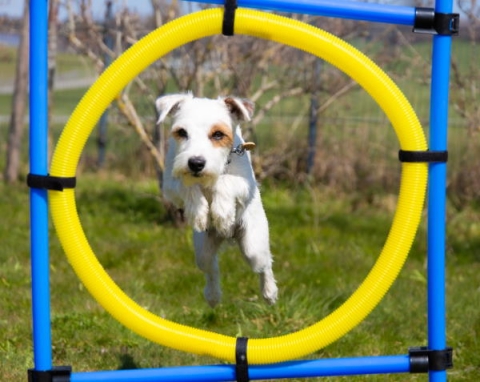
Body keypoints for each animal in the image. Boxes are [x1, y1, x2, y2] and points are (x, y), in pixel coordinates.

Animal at [157, 92, 278, 308]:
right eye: (182, 132)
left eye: (218, 134)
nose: (196, 163)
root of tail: (228, 237)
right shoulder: (169, 185)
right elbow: (188, 185)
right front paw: (199, 212)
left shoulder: (246, 183)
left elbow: (224, 181)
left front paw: (222, 213)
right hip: (202, 250)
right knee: (212, 269)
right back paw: (212, 296)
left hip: (254, 245)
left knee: (264, 265)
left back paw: (270, 292)